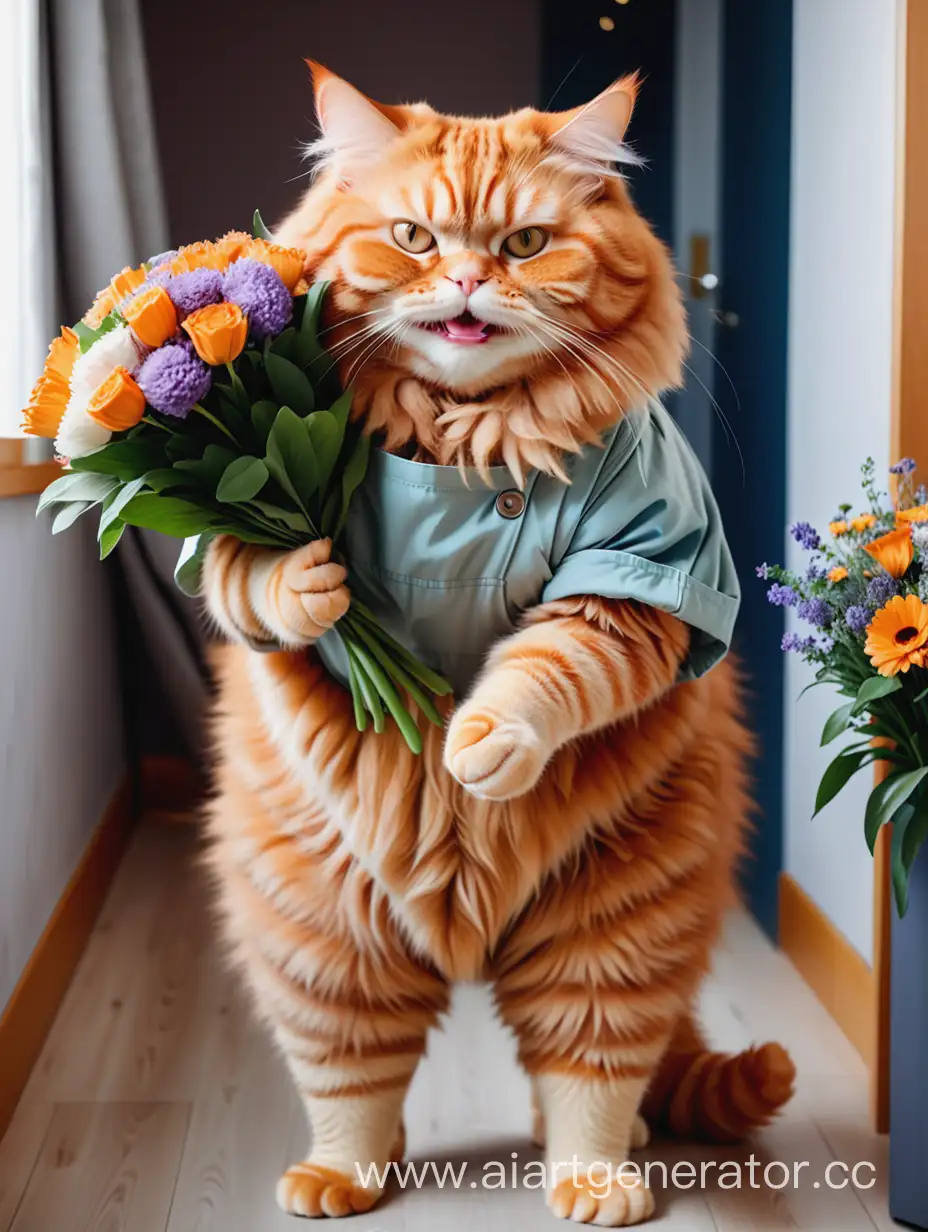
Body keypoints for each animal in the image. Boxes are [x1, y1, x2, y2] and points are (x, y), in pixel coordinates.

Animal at [199, 64, 793, 1222]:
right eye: (414, 237)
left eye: (523, 244)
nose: (470, 280)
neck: (458, 447)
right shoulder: (236, 552)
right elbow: (256, 577)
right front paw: (312, 584)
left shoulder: (635, 570)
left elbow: (544, 674)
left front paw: (476, 741)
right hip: (324, 937)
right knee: (353, 1085)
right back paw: (337, 1175)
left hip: (610, 927)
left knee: (588, 1076)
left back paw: (602, 1174)